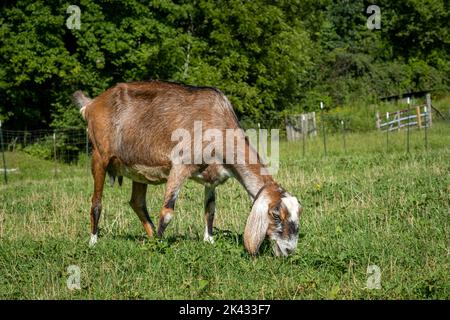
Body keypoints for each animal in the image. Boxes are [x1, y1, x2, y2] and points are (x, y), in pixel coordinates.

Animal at [72, 80, 300, 258]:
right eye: (276, 214)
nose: (288, 250)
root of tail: (92, 104)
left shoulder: (212, 178)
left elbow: (210, 209)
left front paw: (209, 240)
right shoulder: (179, 166)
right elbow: (167, 212)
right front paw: (159, 248)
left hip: (137, 170)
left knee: (137, 202)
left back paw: (150, 235)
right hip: (99, 156)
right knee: (96, 202)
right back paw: (94, 241)